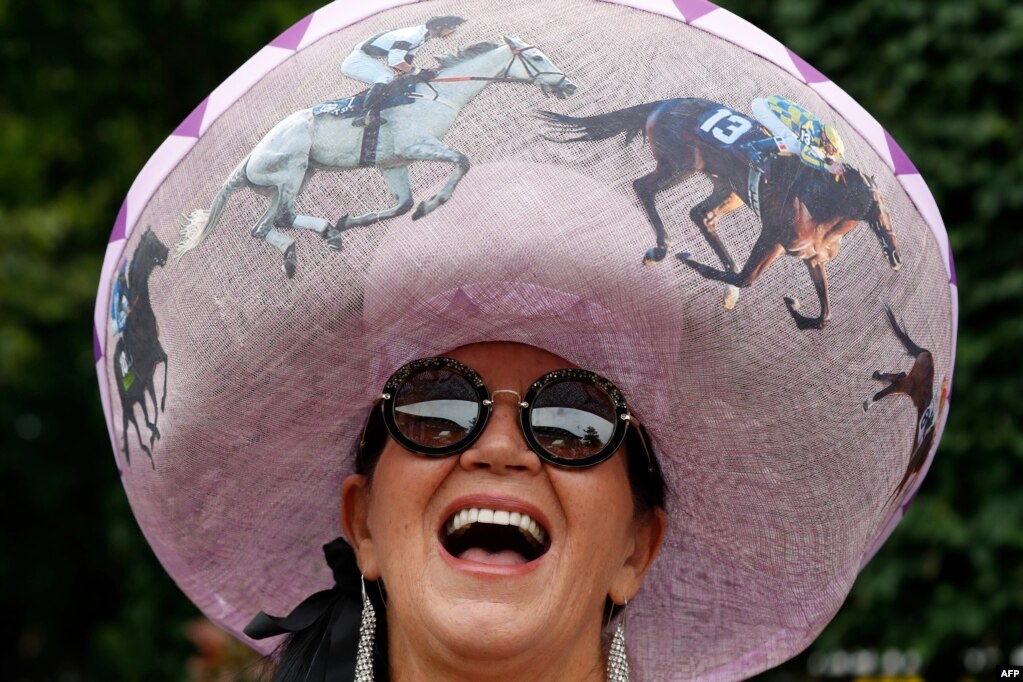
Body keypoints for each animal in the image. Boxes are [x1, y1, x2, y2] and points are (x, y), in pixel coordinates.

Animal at [176, 35, 576, 278]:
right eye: (536, 56)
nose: (568, 85)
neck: (437, 93)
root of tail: (247, 160)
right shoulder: (416, 146)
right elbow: (462, 161)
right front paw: (431, 205)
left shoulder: (393, 163)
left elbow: (402, 205)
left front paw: (354, 220)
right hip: (292, 170)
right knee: (286, 216)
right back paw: (326, 232)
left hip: (290, 181)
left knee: (262, 226)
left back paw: (294, 252)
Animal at [540, 97, 900, 329]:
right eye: (877, 209)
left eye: (885, 213)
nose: (896, 257)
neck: (822, 201)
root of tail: (662, 103)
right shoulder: (773, 237)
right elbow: (746, 277)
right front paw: (689, 260)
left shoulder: (811, 257)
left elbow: (824, 317)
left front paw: (796, 310)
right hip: (680, 165)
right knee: (644, 188)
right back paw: (662, 249)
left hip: (728, 188)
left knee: (701, 215)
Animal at [863, 304, 941, 496]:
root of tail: (927, 354)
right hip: (908, 384)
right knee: (897, 380)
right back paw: (868, 400)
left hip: (907, 384)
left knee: (897, 378)